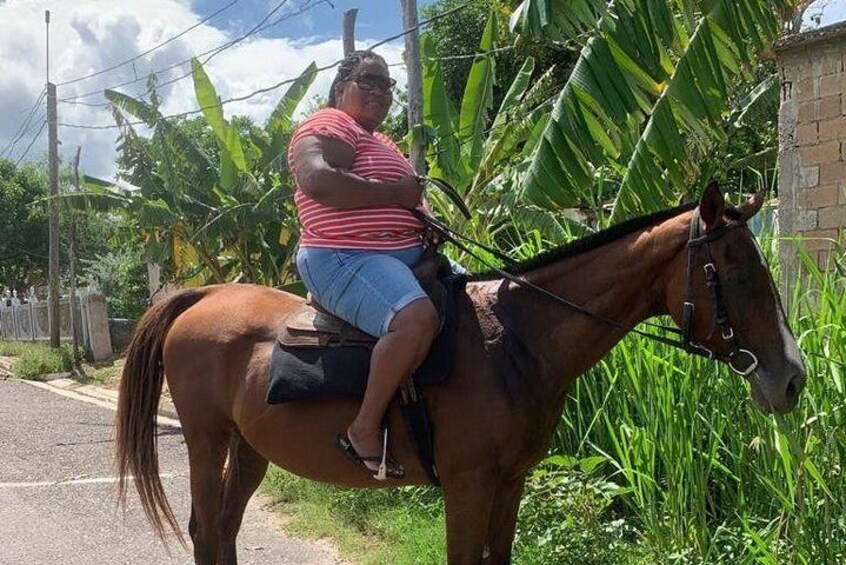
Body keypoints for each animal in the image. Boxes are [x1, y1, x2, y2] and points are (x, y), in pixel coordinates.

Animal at [114, 183, 808, 560]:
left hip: (251, 447)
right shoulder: (468, 486)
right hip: (206, 439)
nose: (793, 378)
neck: (518, 341)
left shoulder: (510, 484)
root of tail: (203, 295)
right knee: (207, 530)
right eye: (737, 273)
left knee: (225, 529)